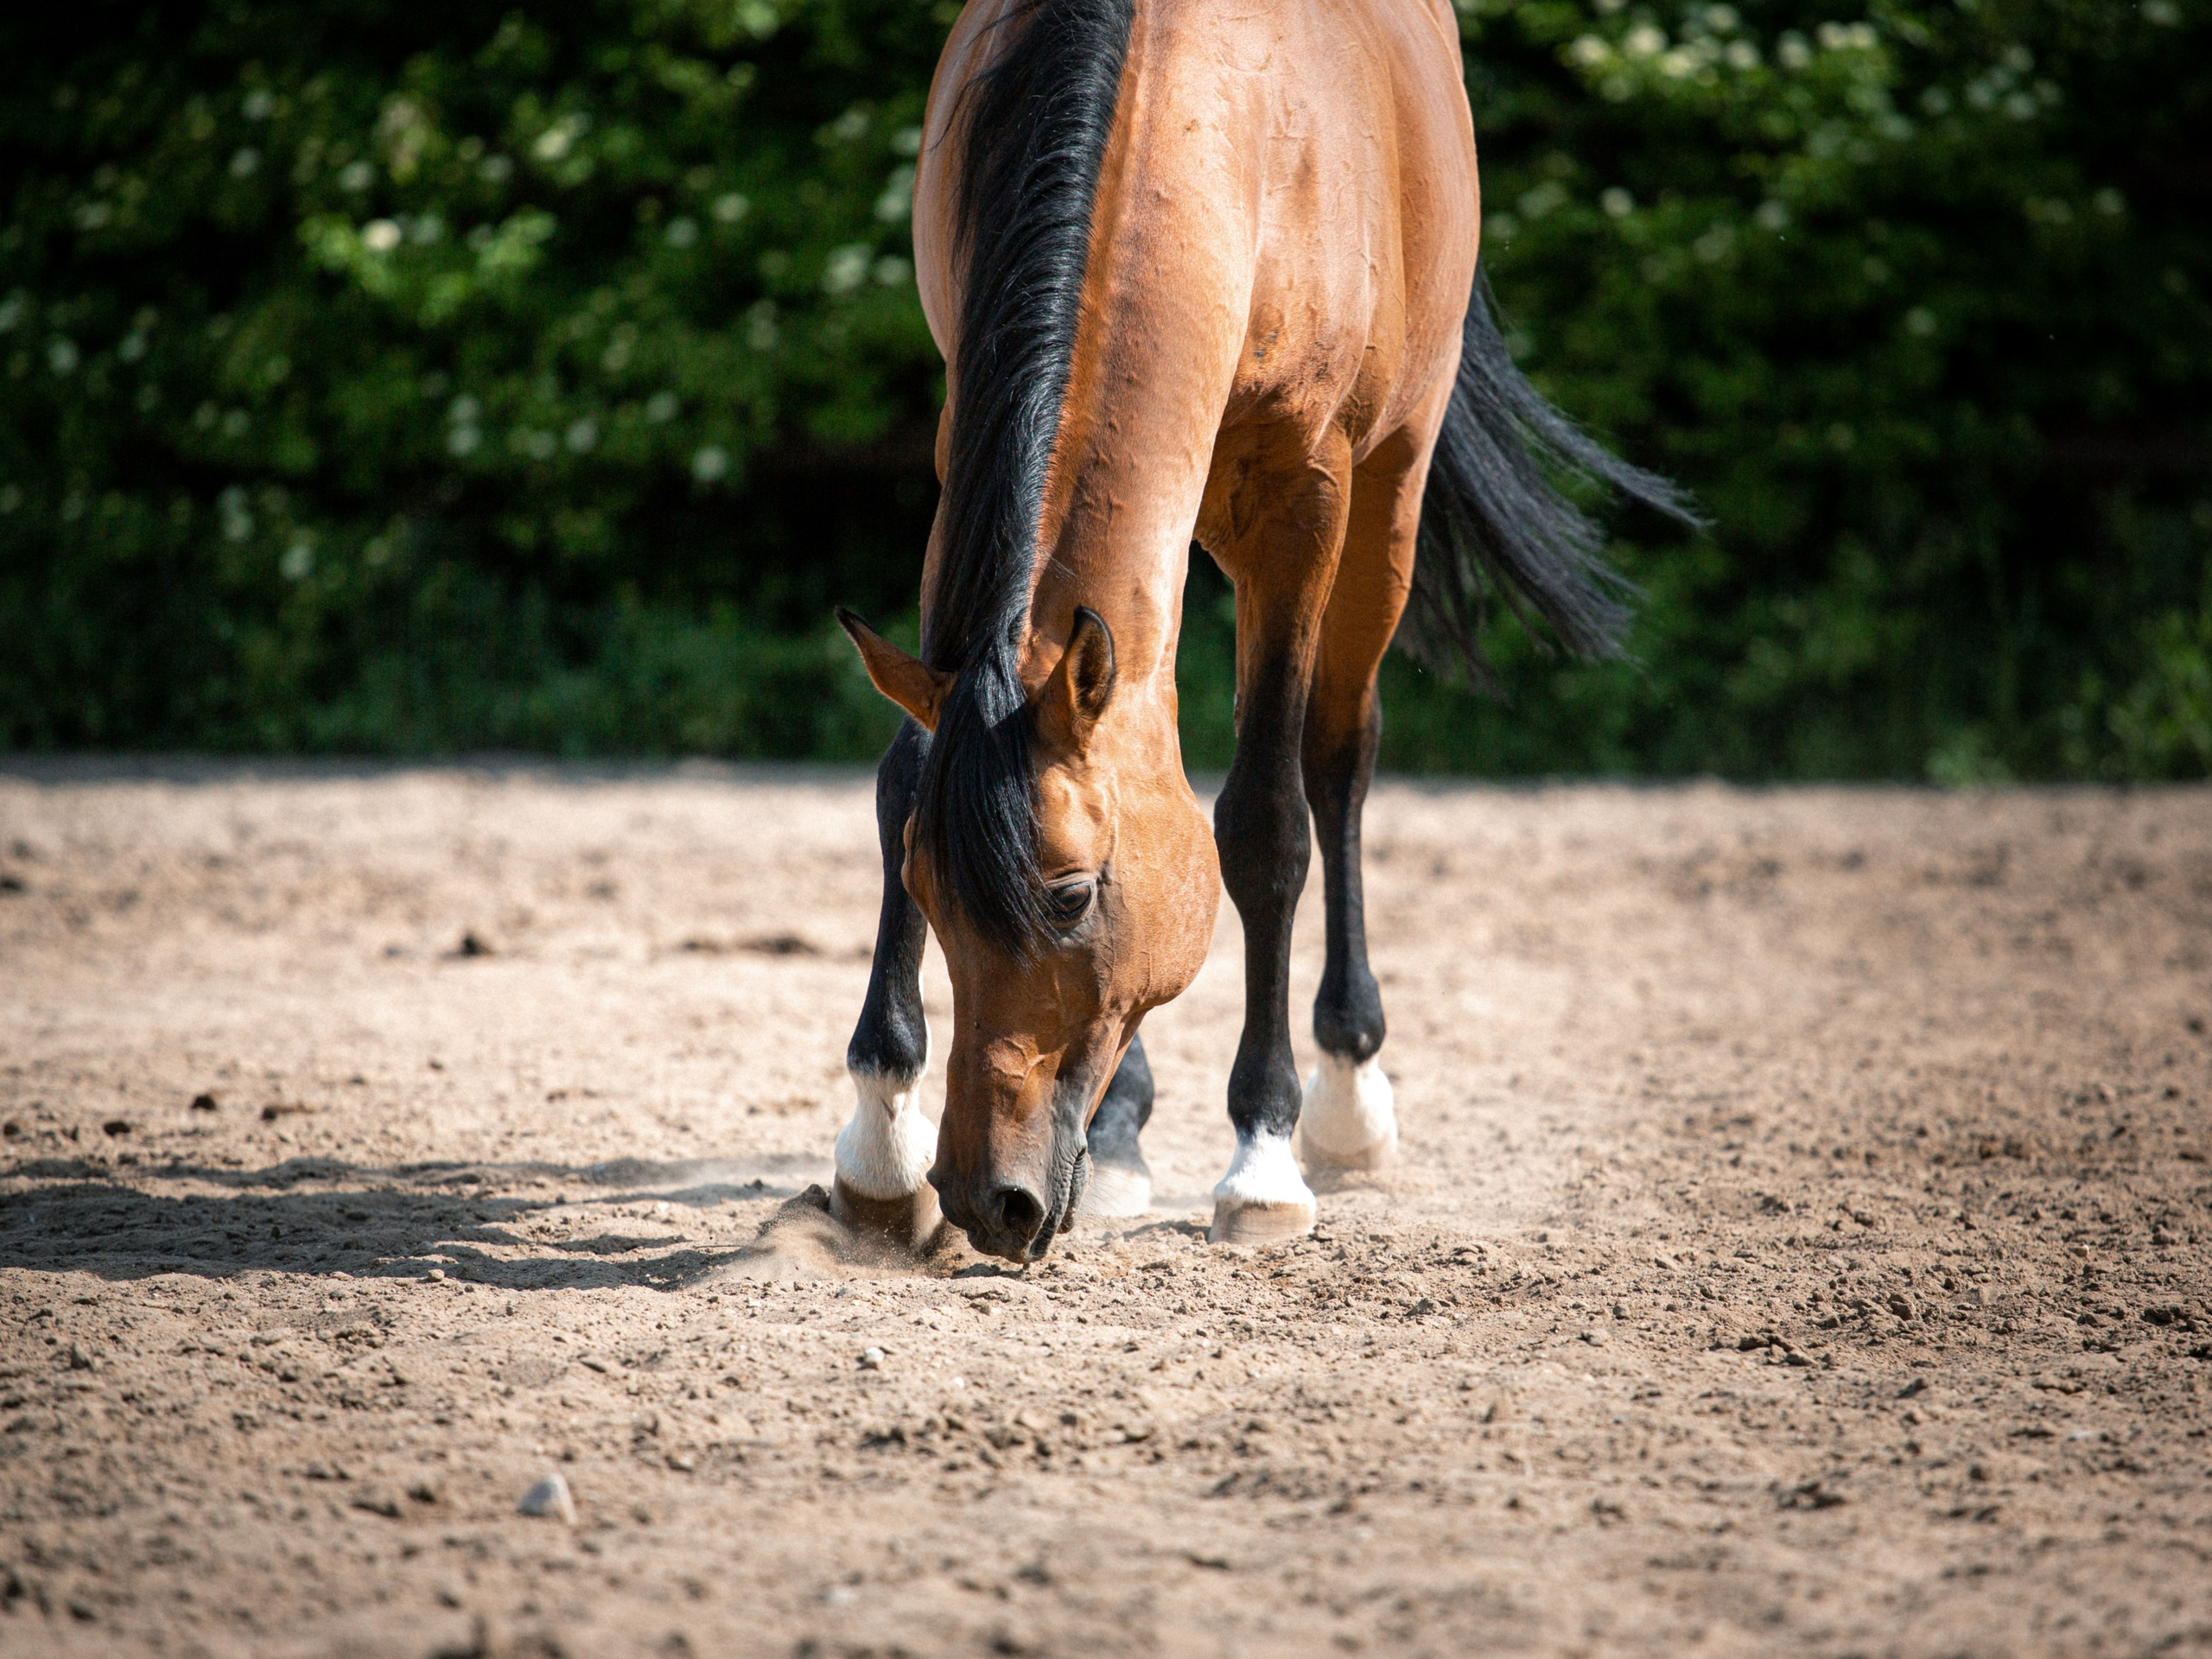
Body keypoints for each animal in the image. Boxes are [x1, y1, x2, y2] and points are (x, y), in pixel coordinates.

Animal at [827, 0, 1691, 1262]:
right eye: (926, 888)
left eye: (1072, 897)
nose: (992, 1200)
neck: (1198, 117)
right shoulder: (961, 449)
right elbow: (910, 767)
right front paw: (879, 1139)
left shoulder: (1305, 500)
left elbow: (1266, 825)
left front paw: (1264, 1157)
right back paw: (1122, 1132)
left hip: (1388, 495)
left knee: (1339, 755)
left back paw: (1343, 1097)